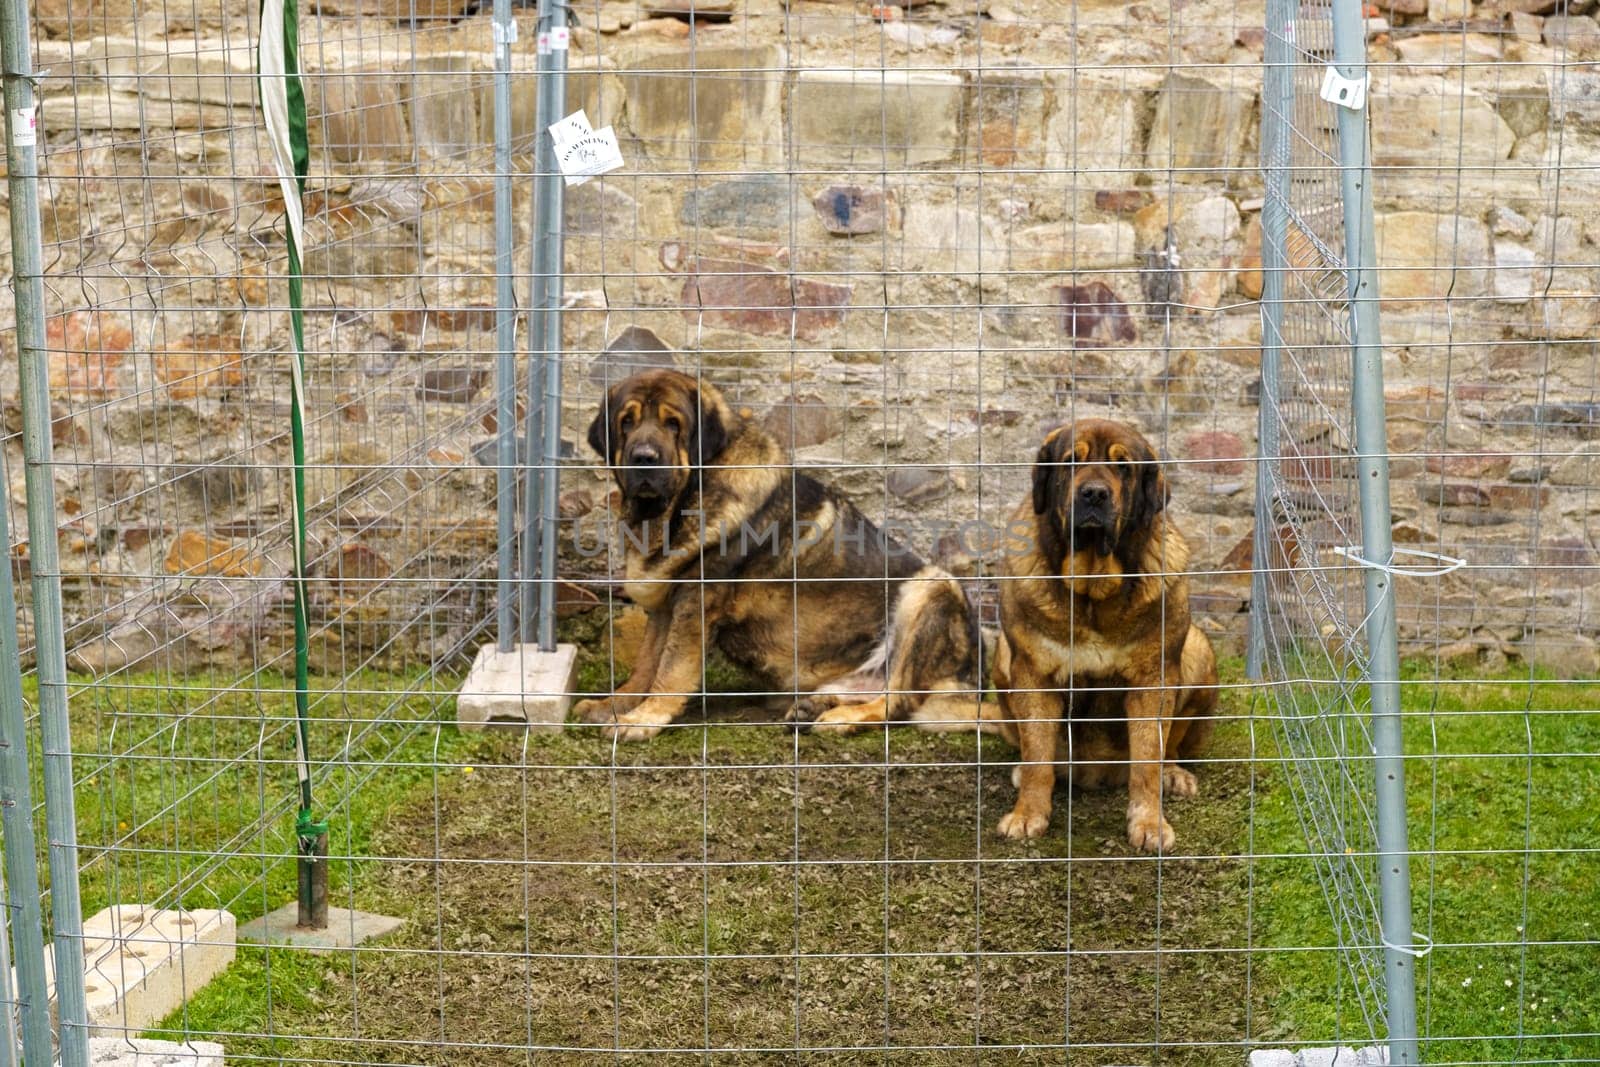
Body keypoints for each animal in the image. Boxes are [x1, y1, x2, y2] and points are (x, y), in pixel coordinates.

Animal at [569, 371, 979, 739]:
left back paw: (840, 719)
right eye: (626, 422)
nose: (644, 457)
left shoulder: (695, 603)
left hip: (932, 590)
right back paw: (814, 706)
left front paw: (644, 719)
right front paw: (614, 705)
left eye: (673, 424)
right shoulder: (667, 606)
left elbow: (671, 668)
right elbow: (646, 663)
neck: (681, 503)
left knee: (897, 702)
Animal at [992, 422, 1216, 857]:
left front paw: (1149, 824)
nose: (1094, 493)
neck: (1093, 586)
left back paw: (1174, 774)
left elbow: (1147, 758)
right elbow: (1038, 753)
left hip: (1198, 652)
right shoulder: (1033, 673)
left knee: (1170, 745)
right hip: (1001, 653)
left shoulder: (1153, 679)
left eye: (1122, 466)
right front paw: (1028, 814)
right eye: (1071, 461)